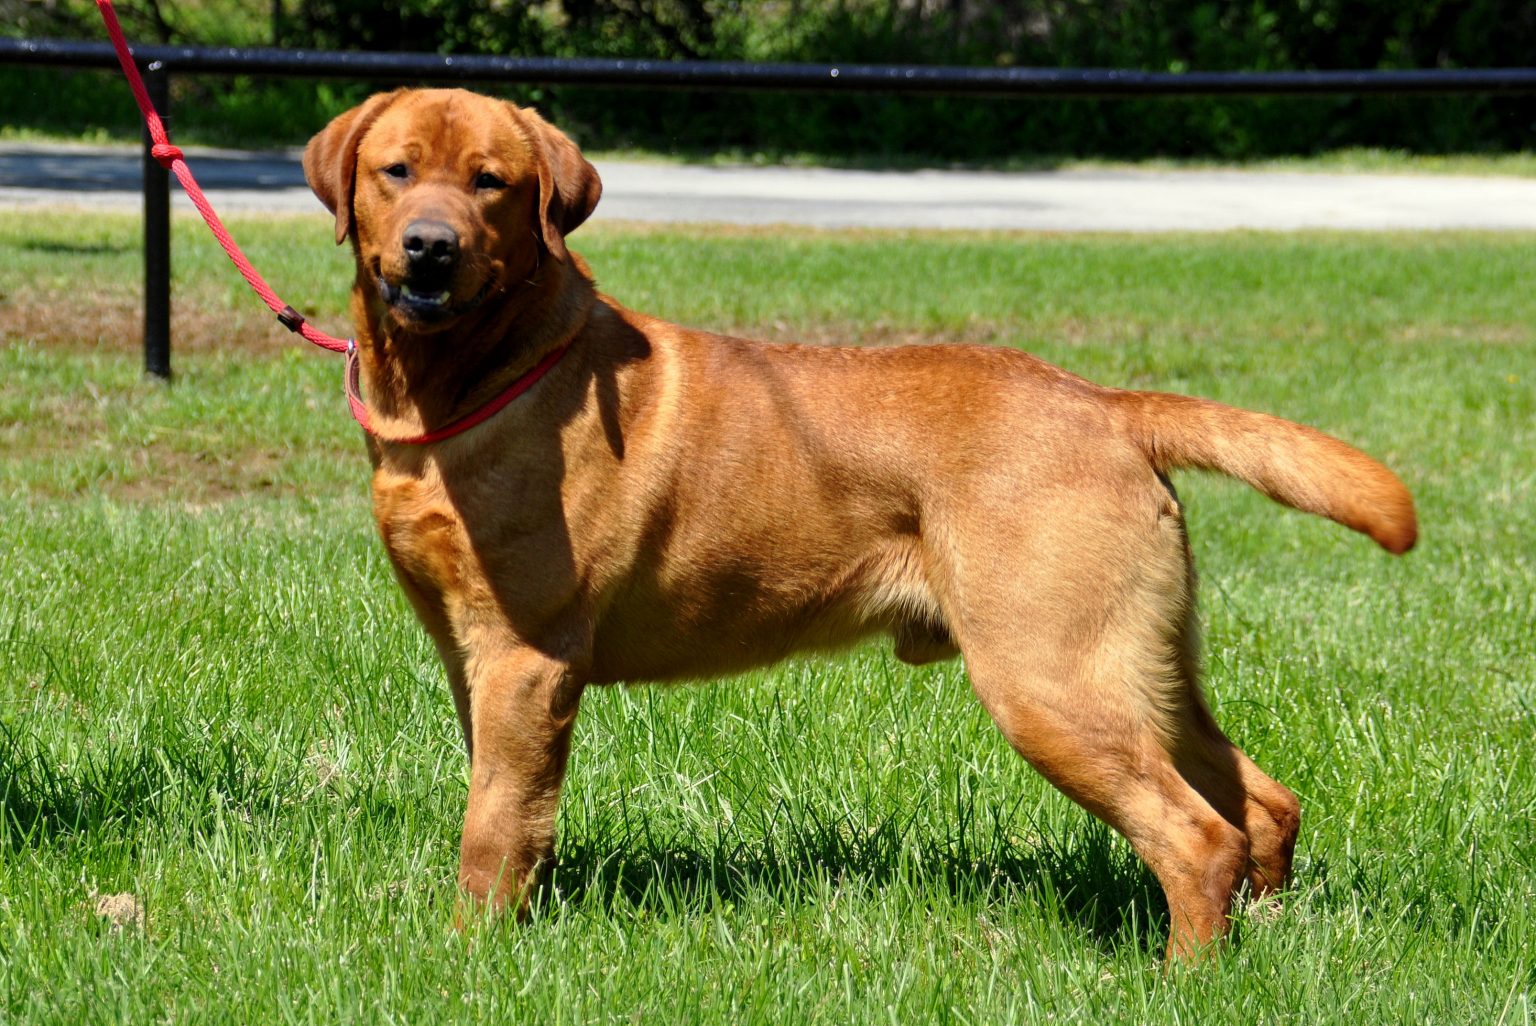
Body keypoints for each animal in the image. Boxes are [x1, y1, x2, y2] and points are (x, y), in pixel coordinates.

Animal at [299, 90, 1413, 964]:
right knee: (1261, 803)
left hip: (1046, 676)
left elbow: (492, 828)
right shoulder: (475, 659)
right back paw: (1264, 941)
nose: (430, 250)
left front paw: (470, 952)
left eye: (491, 183)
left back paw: (1182, 978)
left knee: (1196, 836)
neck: (469, 378)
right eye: (398, 171)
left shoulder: (526, 656)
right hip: (1138, 666)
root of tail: (1105, 403)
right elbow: (514, 805)